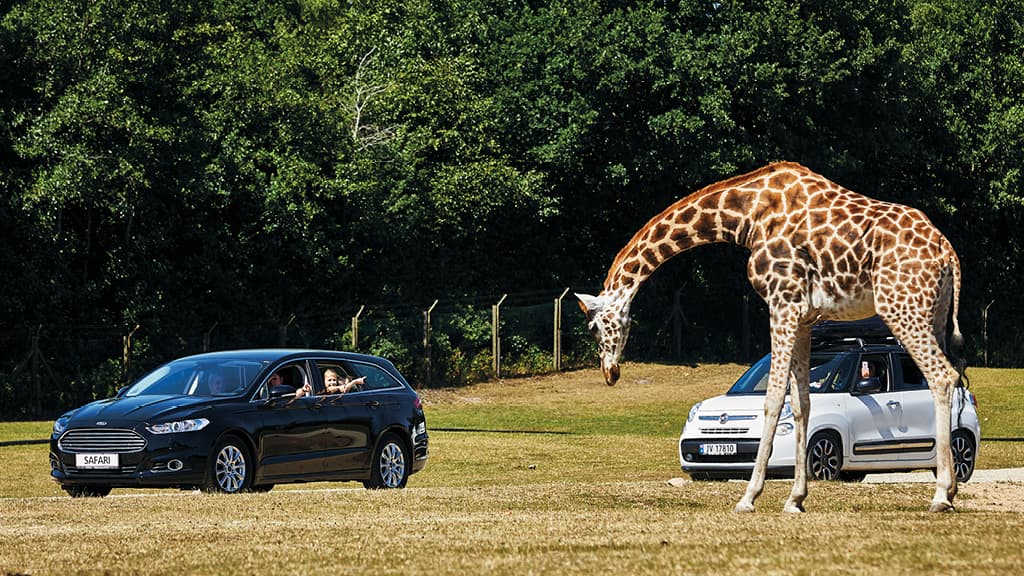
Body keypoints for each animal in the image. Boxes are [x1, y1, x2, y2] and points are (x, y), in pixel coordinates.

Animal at [577, 161, 965, 513]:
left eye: (594, 328)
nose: (610, 373)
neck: (745, 217)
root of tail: (948, 252)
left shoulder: (782, 302)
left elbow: (773, 398)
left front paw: (748, 497)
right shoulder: (806, 317)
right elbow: (802, 401)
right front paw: (795, 500)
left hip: (900, 306)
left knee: (942, 376)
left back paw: (941, 495)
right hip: (933, 312)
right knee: (952, 377)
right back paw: (951, 488)